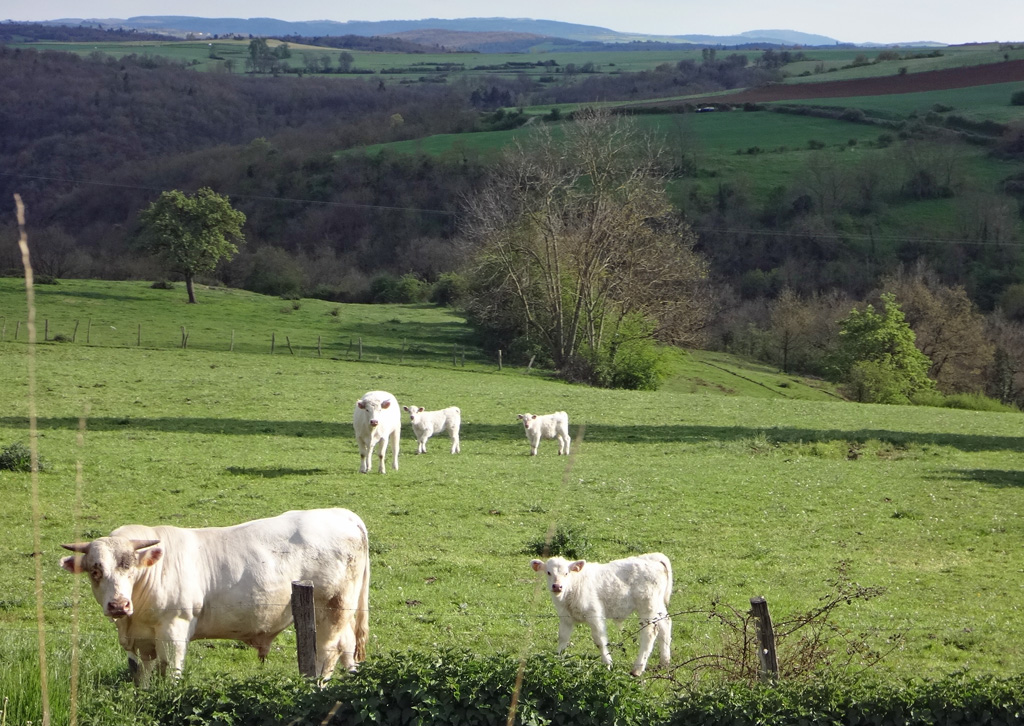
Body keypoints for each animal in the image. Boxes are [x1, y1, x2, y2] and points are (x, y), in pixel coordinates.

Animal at [59, 507, 372, 684]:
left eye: (130, 565)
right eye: (95, 570)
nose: (118, 604)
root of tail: (341, 513)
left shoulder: (175, 628)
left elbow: (172, 673)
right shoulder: (140, 639)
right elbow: (143, 675)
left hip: (330, 609)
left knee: (327, 653)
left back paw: (316, 687)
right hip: (340, 611)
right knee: (346, 647)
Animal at [532, 557, 675, 675]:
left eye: (566, 573)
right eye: (548, 572)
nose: (557, 586)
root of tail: (654, 558)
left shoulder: (595, 614)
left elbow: (599, 640)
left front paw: (607, 663)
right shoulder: (565, 617)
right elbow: (563, 638)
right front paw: (556, 660)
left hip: (647, 607)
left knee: (650, 633)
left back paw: (637, 669)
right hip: (657, 606)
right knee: (665, 624)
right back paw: (664, 662)